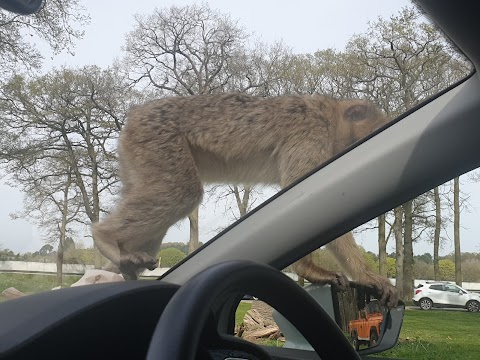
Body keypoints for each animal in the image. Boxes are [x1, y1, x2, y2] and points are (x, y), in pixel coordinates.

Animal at [93, 93, 398, 306]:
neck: (329, 115)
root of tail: (135, 115)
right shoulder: (311, 137)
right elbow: (305, 193)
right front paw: (321, 271)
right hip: (157, 141)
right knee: (182, 192)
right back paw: (103, 237)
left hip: (138, 155)